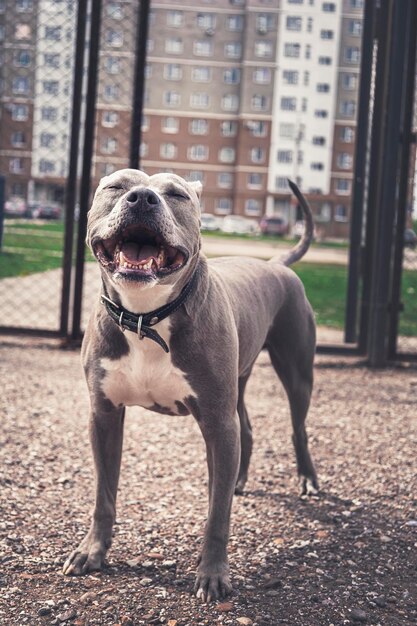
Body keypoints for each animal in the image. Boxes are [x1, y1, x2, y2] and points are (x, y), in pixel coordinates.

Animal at [61, 168, 316, 604]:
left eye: (176, 194)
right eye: (116, 186)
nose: (142, 198)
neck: (145, 318)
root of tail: (275, 264)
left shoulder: (216, 420)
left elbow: (217, 515)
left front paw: (212, 574)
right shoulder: (104, 415)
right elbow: (103, 495)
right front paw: (91, 551)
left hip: (296, 373)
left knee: (297, 428)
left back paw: (307, 480)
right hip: (238, 384)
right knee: (246, 429)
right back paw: (239, 481)